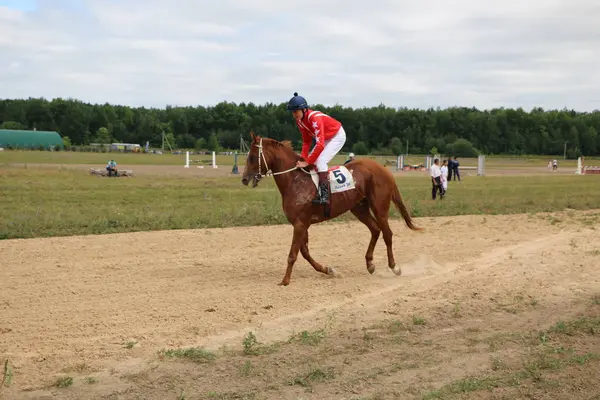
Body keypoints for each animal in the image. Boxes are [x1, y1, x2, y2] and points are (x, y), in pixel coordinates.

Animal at [239, 133, 422, 286]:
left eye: (252, 157)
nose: (244, 179)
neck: (295, 181)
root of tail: (384, 169)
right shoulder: (301, 224)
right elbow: (304, 252)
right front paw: (328, 270)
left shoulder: (300, 223)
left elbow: (293, 254)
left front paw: (285, 281)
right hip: (359, 208)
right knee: (375, 230)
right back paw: (370, 264)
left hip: (380, 207)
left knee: (387, 234)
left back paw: (394, 267)